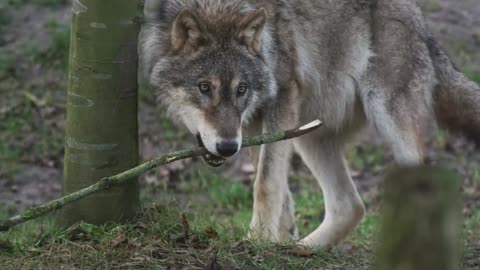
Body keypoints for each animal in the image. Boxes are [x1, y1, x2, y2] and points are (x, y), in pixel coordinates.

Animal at [141, 0, 480, 249]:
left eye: (241, 89)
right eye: (204, 87)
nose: (226, 148)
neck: (218, 7)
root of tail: (420, 19)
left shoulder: (282, 99)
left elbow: (265, 183)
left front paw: (256, 240)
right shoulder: (251, 127)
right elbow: (276, 187)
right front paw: (273, 242)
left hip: (387, 117)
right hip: (308, 133)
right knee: (350, 206)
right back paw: (300, 250)